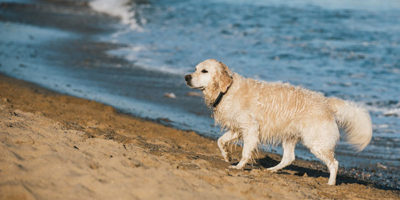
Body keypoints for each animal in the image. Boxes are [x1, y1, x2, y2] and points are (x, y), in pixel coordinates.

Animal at [184, 58, 372, 185]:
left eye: (204, 71)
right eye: (195, 69)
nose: (186, 77)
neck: (226, 90)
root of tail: (326, 102)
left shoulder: (251, 128)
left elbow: (245, 152)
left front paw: (238, 166)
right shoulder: (238, 128)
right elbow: (220, 140)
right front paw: (227, 155)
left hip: (316, 142)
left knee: (334, 163)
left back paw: (331, 183)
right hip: (289, 136)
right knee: (289, 158)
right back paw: (272, 170)